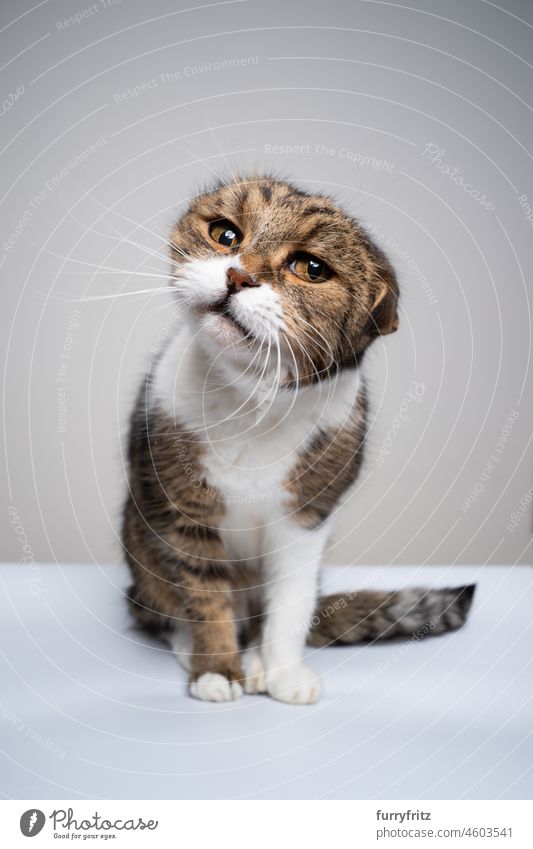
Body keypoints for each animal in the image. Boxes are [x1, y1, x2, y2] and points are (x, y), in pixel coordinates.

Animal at [122, 172, 476, 704]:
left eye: (310, 268)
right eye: (225, 234)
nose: (238, 276)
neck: (249, 401)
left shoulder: (305, 519)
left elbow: (289, 603)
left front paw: (283, 670)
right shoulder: (183, 511)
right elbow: (204, 596)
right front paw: (217, 669)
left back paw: (258, 661)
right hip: (140, 544)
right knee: (160, 602)